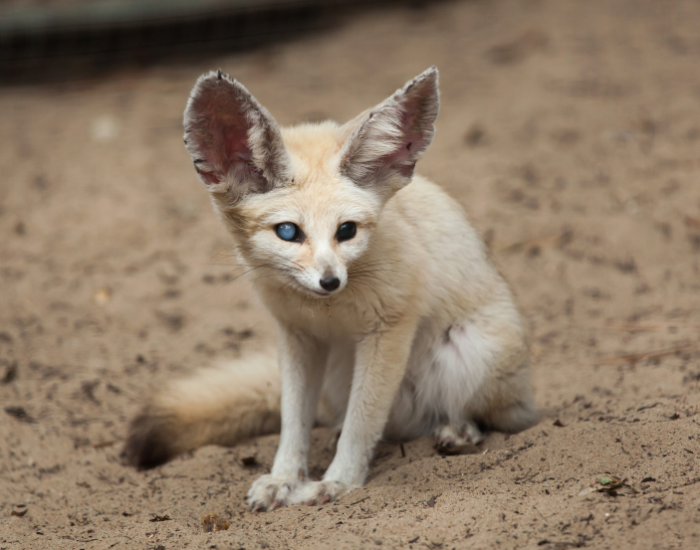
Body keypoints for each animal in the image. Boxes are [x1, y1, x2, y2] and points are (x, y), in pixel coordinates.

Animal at [123, 67, 538, 511]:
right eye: (289, 232)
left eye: (347, 231)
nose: (330, 281)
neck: (326, 312)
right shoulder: (297, 336)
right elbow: (294, 422)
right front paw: (284, 478)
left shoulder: (389, 328)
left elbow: (363, 421)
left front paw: (338, 482)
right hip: (343, 376)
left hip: (469, 353)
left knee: (494, 417)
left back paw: (460, 430)